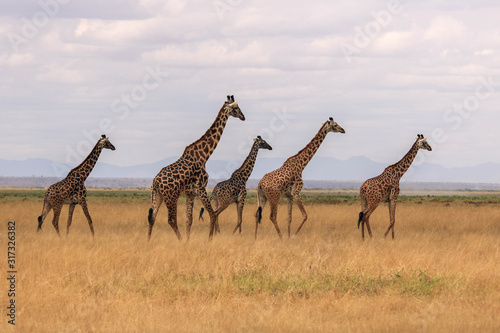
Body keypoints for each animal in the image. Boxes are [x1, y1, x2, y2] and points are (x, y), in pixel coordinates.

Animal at [147, 94, 245, 240]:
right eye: (236, 108)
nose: (243, 116)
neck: (204, 156)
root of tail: (156, 181)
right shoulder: (200, 188)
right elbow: (212, 214)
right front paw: (209, 239)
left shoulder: (190, 192)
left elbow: (189, 220)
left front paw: (189, 240)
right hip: (171, 196)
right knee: (171, 219)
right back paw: (180, 240)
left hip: (157, 195)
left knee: (152, 218)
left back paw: (148, 241)